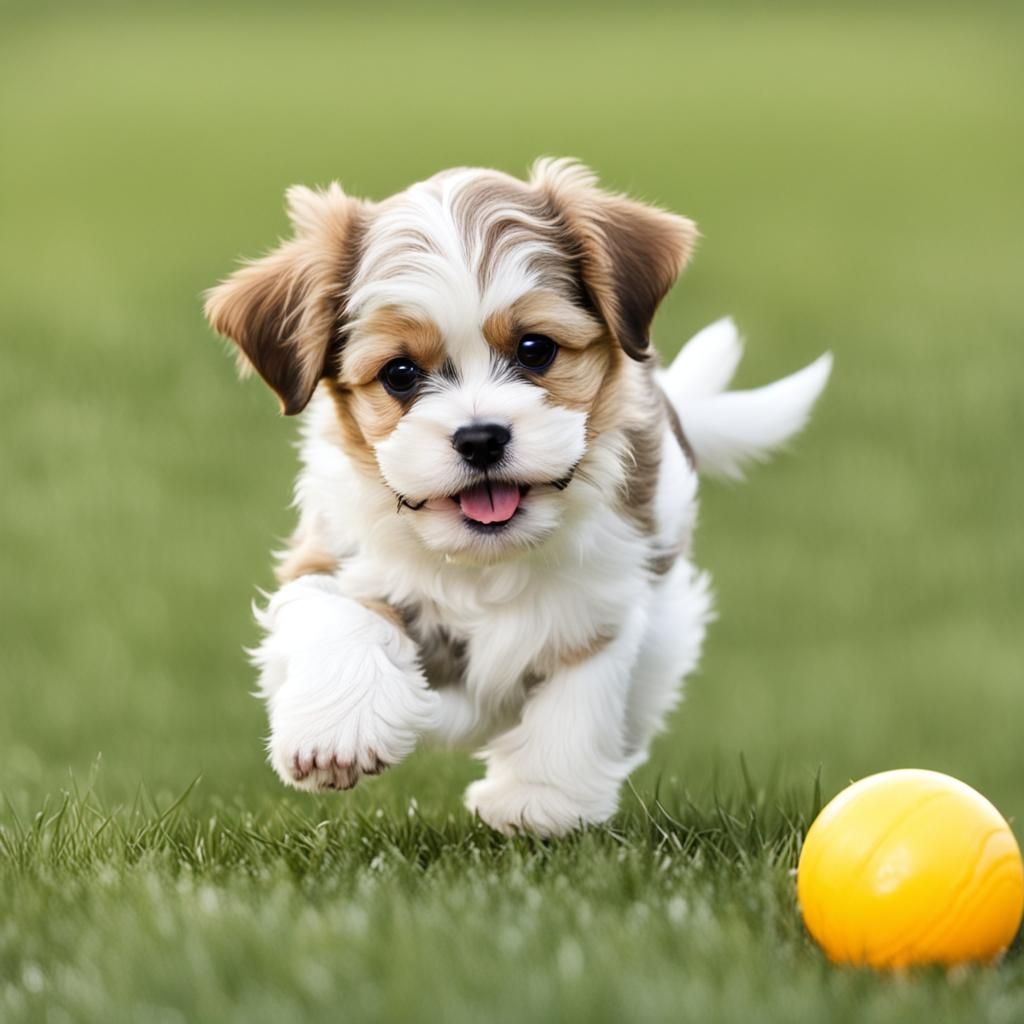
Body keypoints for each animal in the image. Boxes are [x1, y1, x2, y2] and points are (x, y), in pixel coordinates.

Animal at [201, 157, 831, 831]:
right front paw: (338, 730)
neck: (484, 557)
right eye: (400, 373)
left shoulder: (607, 597)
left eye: (535, 349)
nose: (480, 437)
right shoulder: (332, 550)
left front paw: (540, 799)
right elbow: (336, 608)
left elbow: (580, 689)